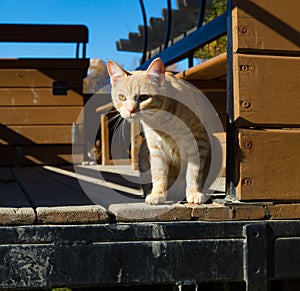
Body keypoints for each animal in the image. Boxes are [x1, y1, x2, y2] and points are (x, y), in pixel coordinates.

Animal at [106, 58, 210, 205]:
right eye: (121, 97)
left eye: (143, 97)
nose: (130, 110)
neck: (162, 121)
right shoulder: (155, 148)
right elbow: (158, 174)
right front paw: (157, 194)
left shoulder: (198, 143)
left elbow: (193, 171)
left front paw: (194, 193)